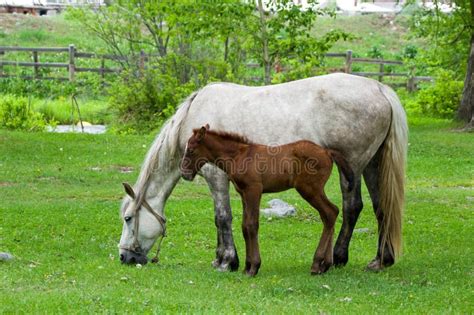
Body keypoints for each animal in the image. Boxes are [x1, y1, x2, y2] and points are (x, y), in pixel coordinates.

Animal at [180, 124, 354, 278]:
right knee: (330, 213)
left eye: (191, 150)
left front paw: (253, 267)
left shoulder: (254, 190)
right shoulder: (243, 193)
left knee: (330, 212)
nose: (184, 174)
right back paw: (325, 265)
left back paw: (317, 264)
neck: (238, 156)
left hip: (310, 189)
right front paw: (247, 267)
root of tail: (326, 151)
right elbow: (244, 226)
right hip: (313, 190)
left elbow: (251, 225)